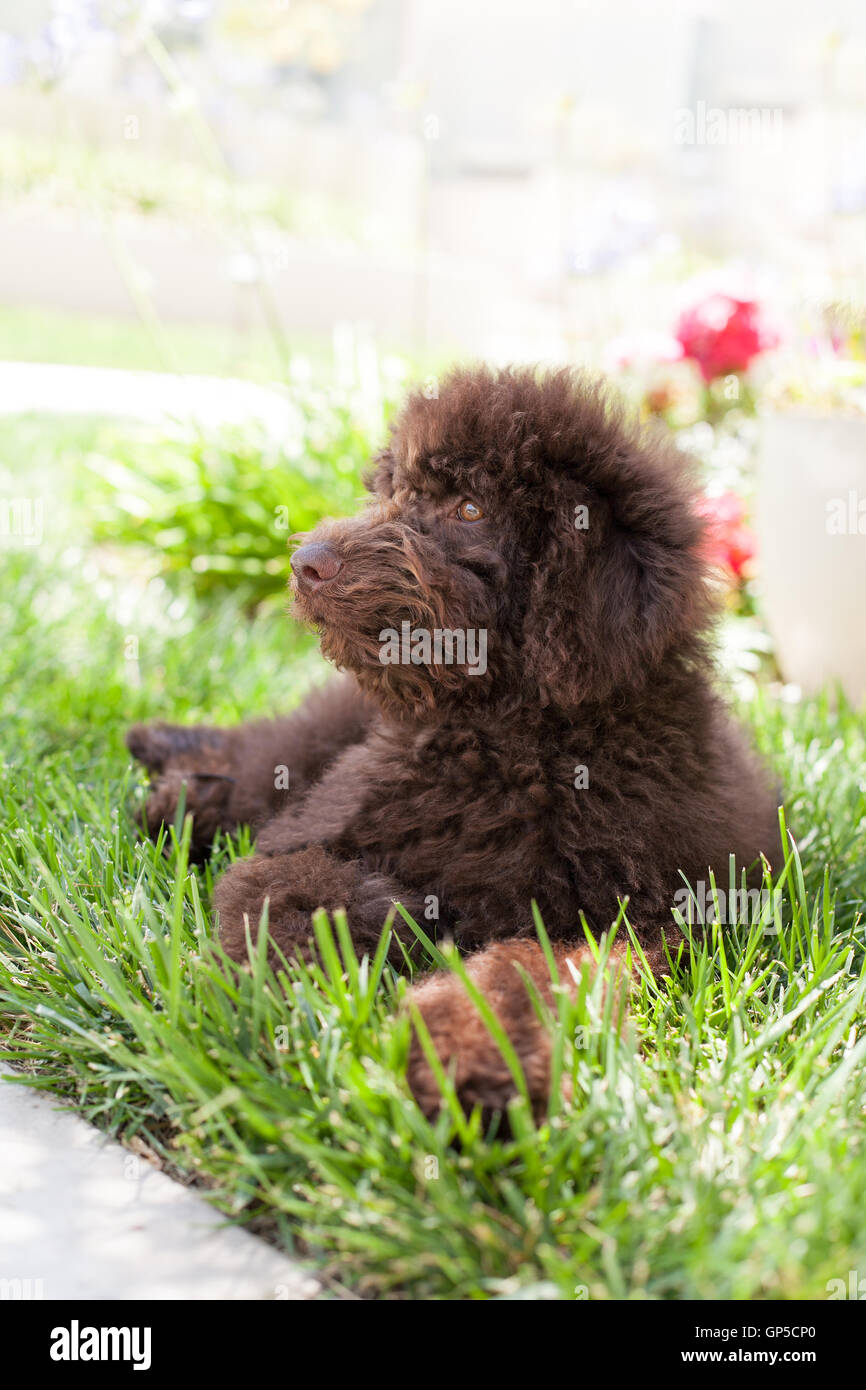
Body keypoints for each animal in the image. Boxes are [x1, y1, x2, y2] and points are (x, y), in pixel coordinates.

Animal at [127, 366, 778, 1117]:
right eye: (393, 493)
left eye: (469, 508)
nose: (306, 563)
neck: (510, 743)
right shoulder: (312, 830)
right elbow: (291, 888)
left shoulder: (644, 918)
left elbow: (532, 969)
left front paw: (473, 1054)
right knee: (264, 754)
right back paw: (173, 782)